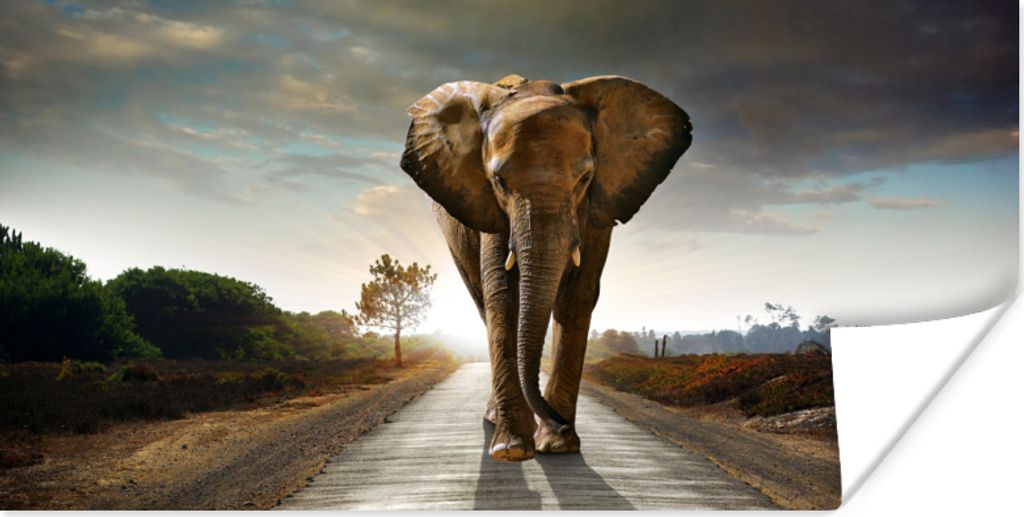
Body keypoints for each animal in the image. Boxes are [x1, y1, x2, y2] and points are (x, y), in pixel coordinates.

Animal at [399, 74, 692, 461]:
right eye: (499, 181)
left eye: (585, 179)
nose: (559, 421)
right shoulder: (491, 210)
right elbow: (504, 296)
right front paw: (512, 449)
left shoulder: (597, 209)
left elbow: (577, 296)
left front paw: (557, 446)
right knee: (483, 303)